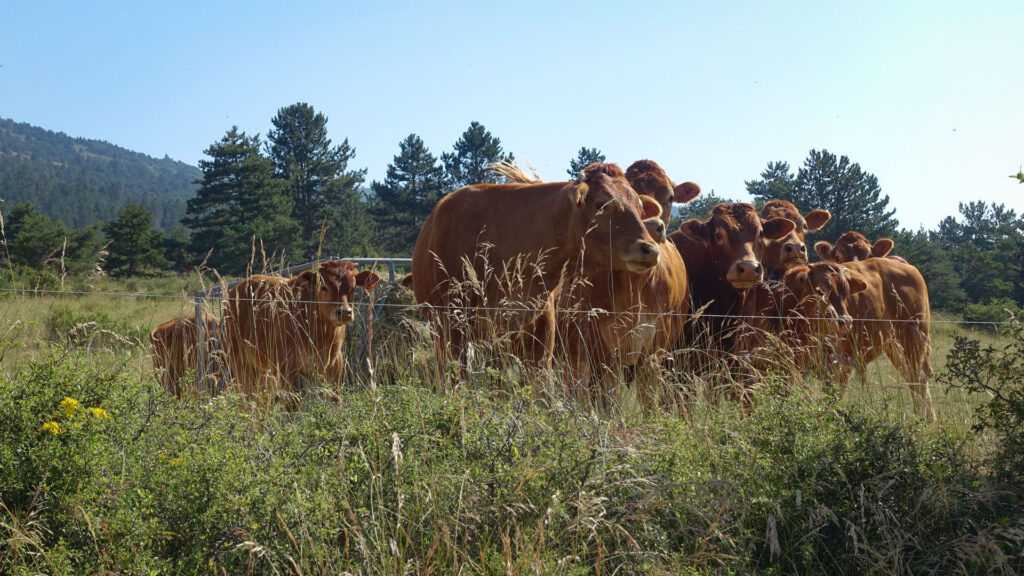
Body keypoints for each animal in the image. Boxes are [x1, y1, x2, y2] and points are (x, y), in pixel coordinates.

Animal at [224, 258, 380, 401]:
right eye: (324, 287)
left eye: (353, 288)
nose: (344, 312)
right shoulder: (287, 369)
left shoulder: (335, 368)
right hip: (241, 363)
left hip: (263, 370)